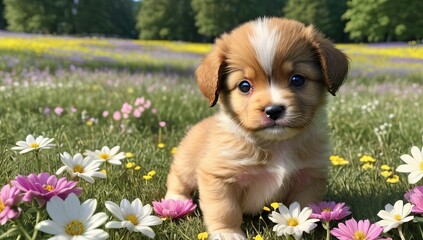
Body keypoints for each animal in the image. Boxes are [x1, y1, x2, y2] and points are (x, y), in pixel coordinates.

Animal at [165, 17, 348, 239]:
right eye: (244, 86)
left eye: (297, 79)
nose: (273, 110)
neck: (276, 145)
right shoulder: (219, 177)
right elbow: (225, 210)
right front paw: (227, 233)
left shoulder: (308, 178)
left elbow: (304, 208)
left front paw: (301, 229)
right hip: (186, 164)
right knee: (177, 179)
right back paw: (176, 201)